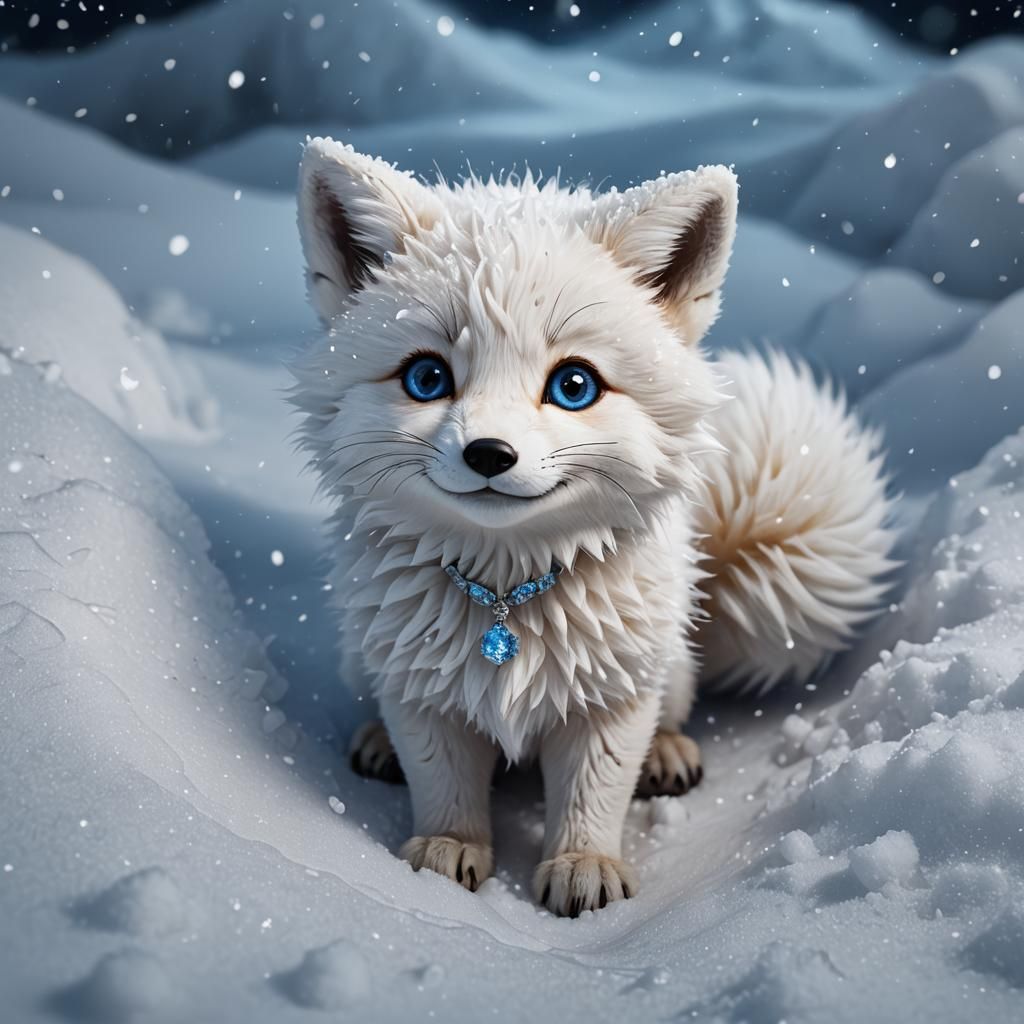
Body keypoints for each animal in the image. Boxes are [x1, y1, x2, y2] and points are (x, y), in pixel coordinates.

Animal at [291, 139, 895, 917]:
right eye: (426, 378)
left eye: (573, 386)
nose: (490, 455)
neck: (506, 601)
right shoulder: (419, 689)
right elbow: (444, 784)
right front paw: (448, 851)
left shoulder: (612, 696)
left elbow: (594, 790)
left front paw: (585, 864)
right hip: (361, 651)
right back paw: (376, 743)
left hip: (665, 659)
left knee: (677, 704)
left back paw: (668, 753)